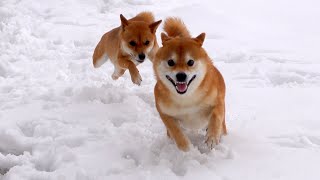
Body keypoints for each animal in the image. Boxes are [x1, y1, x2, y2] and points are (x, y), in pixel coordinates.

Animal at [154, 17, 226, 150]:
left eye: (191, 62)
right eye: (170, 62)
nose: (181, 75)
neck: (186, 98)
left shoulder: (217, 102)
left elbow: (216, 116)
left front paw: (212, 137)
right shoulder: (164, 112)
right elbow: (175, 130)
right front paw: (186, 147)